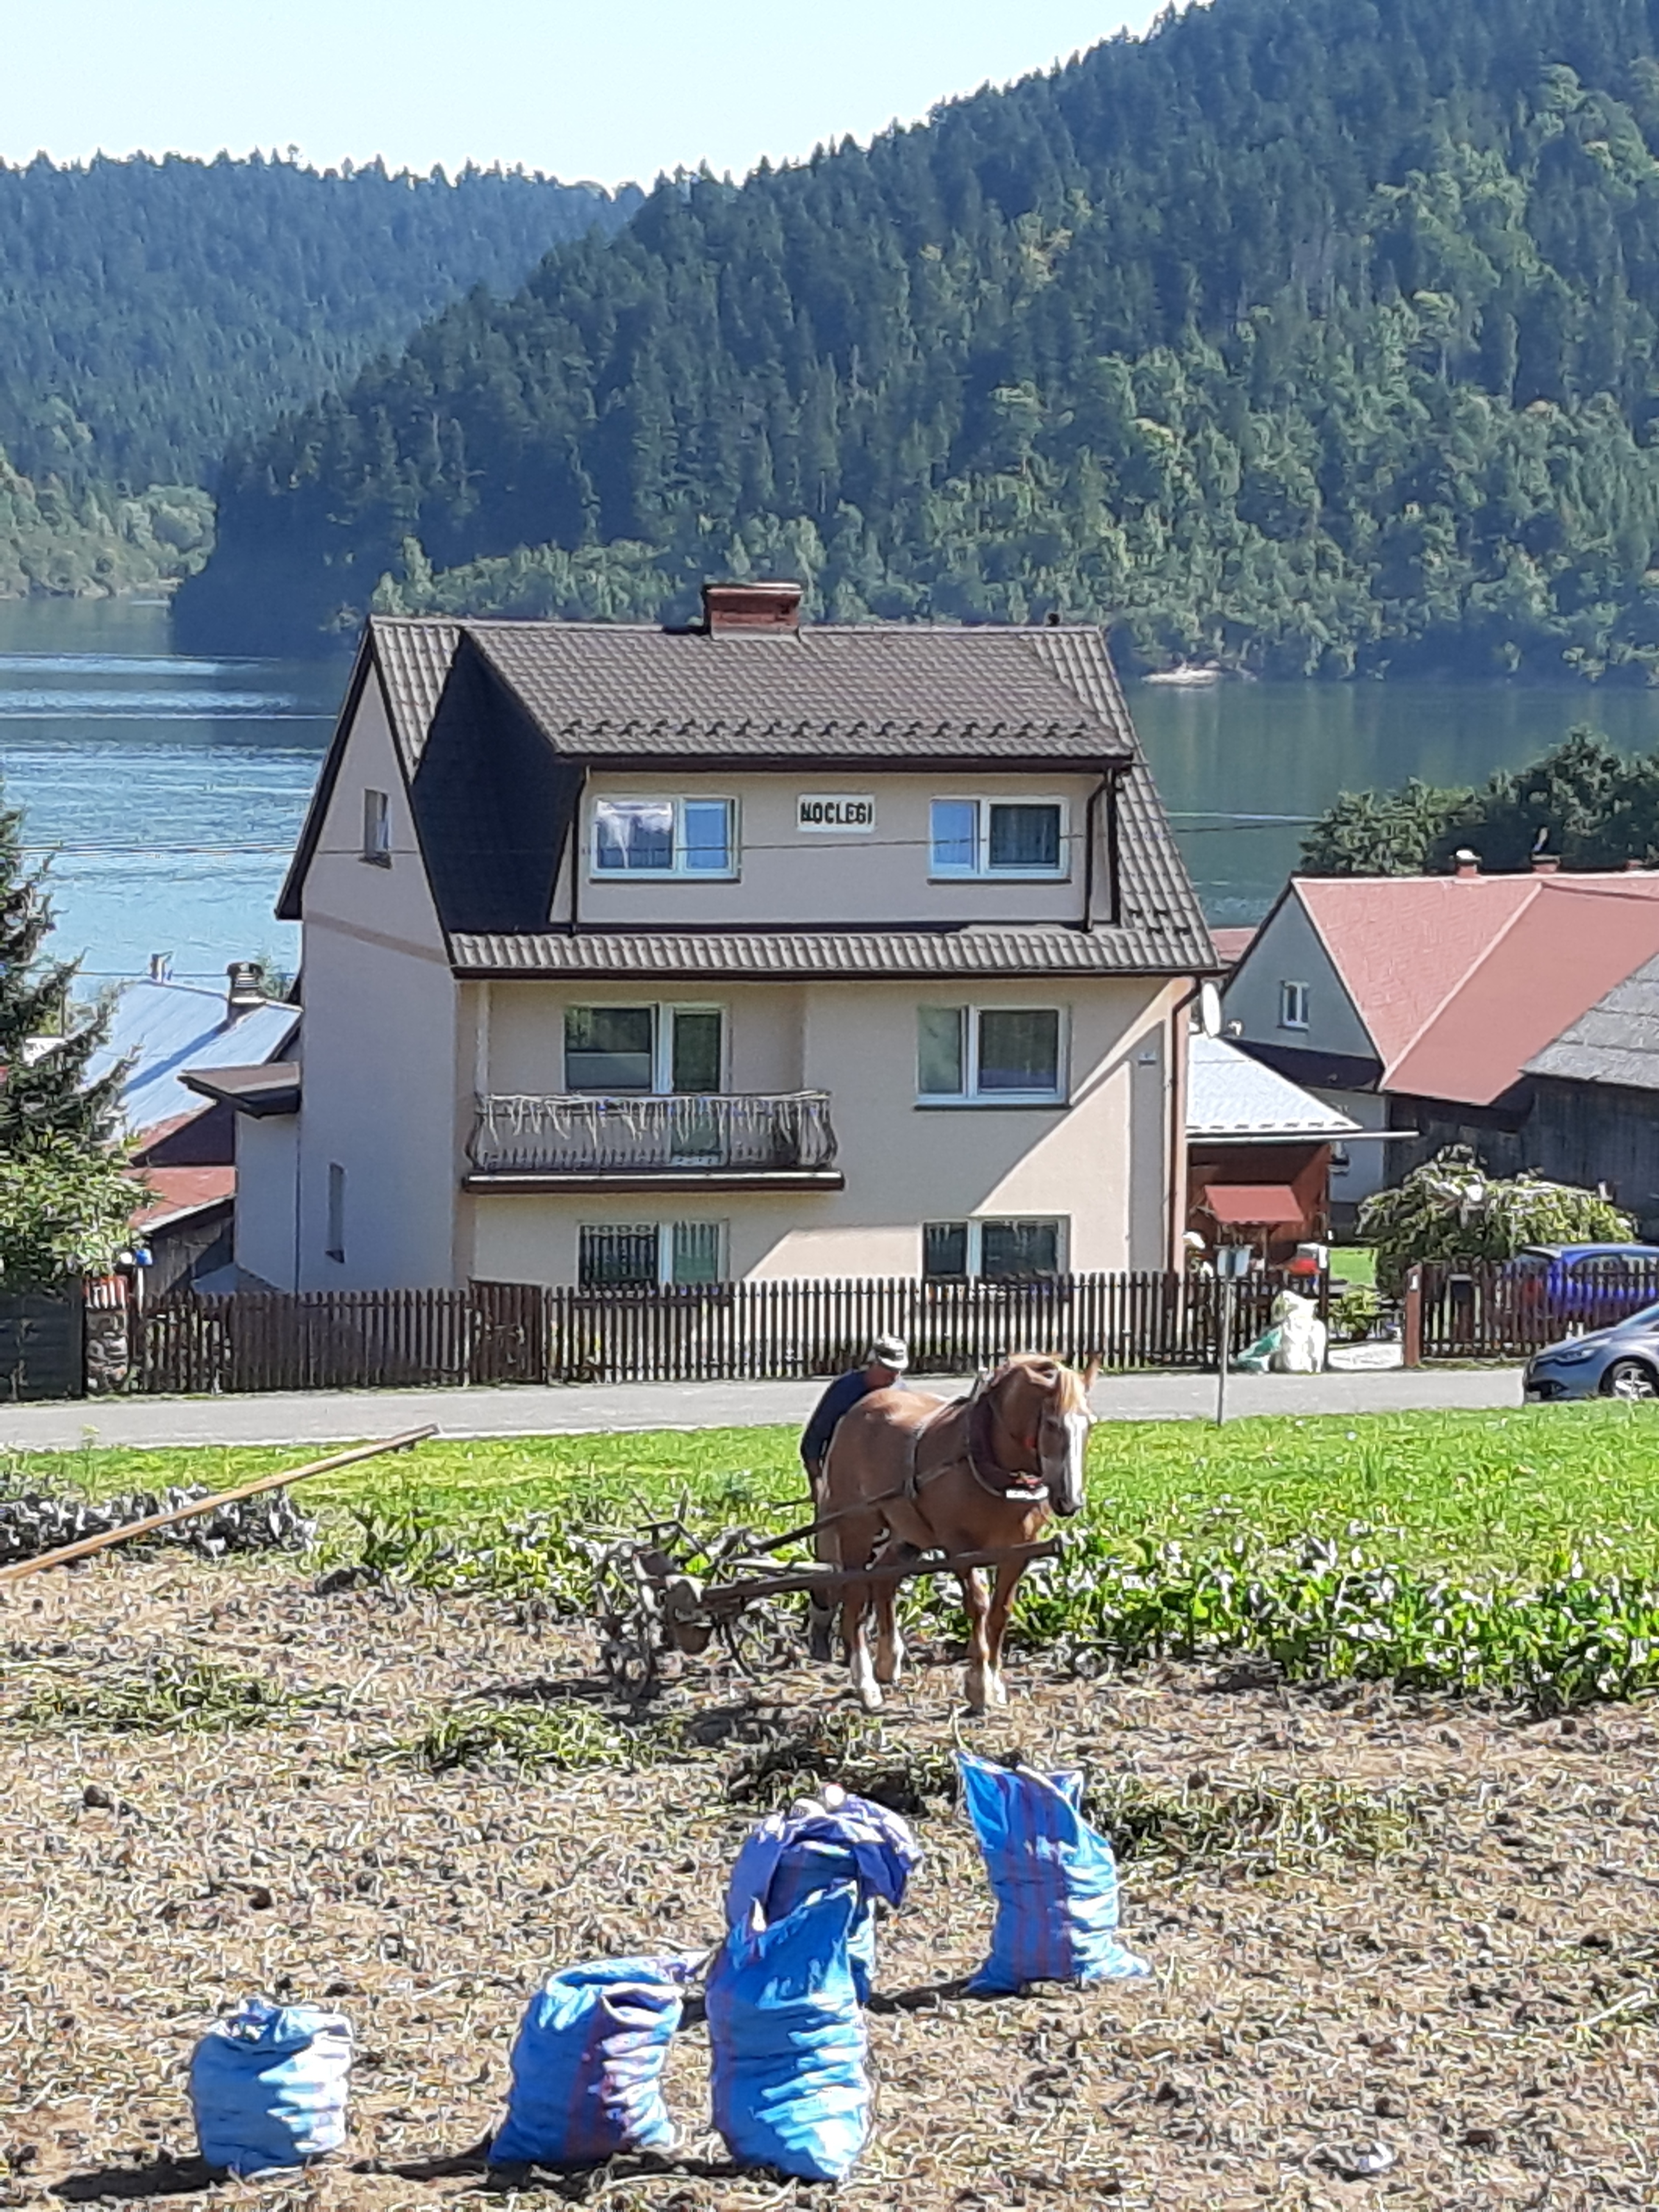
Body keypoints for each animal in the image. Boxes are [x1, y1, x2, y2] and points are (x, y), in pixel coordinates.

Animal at [817, 1351, 1098, 1713]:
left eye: (1089, 1424)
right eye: (1051, 1424)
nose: (1071, 1501)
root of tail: (857, 1411)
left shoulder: (1019, 1552)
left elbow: (1000, 1612)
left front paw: (996, 1683)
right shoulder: (960, 1548)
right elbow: (978, 1604)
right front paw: (979, 1686)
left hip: (908, 1534)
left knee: (884, 1580)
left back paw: (888, 1662)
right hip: (857, 1526)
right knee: (854, 1598)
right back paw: (866, 1684)